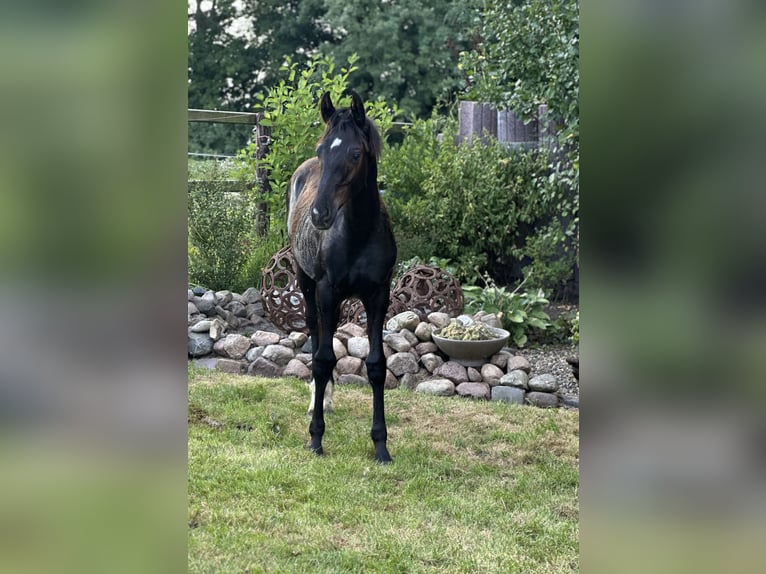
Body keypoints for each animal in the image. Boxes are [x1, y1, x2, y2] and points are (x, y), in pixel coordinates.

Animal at [287, 90, 397, 463]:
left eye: (355, 153)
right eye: (322, 150)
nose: (319, 214)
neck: (358, 233)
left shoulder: (379, 295)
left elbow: (376, 366)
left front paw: (381, 445)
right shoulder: (327, 291)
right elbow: (322, 359)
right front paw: (315, 439)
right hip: (308, 285)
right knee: (315, 334)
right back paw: (316, 401)